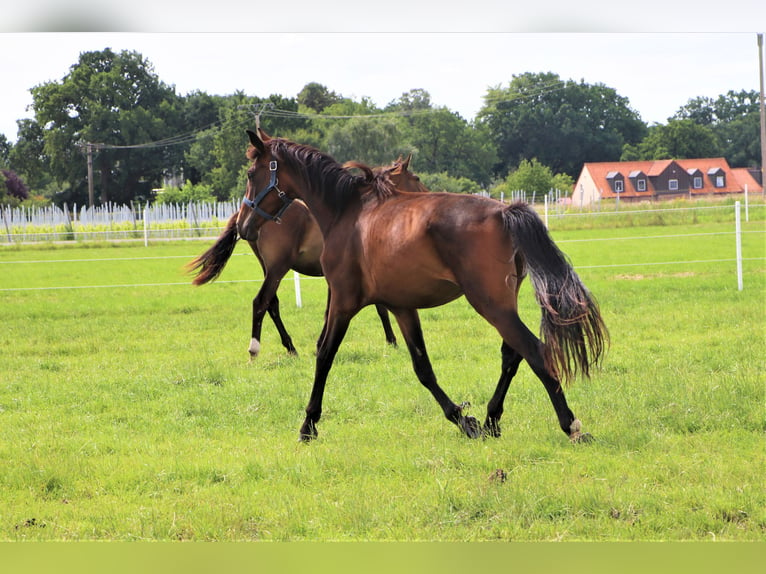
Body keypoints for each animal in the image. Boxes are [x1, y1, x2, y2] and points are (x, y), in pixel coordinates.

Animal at [185, 153, 426, 360]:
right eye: (416, 178)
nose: (426, 194)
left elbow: (331, 310)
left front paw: (320, 344)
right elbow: (379, 308)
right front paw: (392, 341)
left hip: (269, 269)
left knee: (272, 304)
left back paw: (290, 347)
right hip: (277, 268)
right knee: (261, 301)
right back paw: (256, 349)